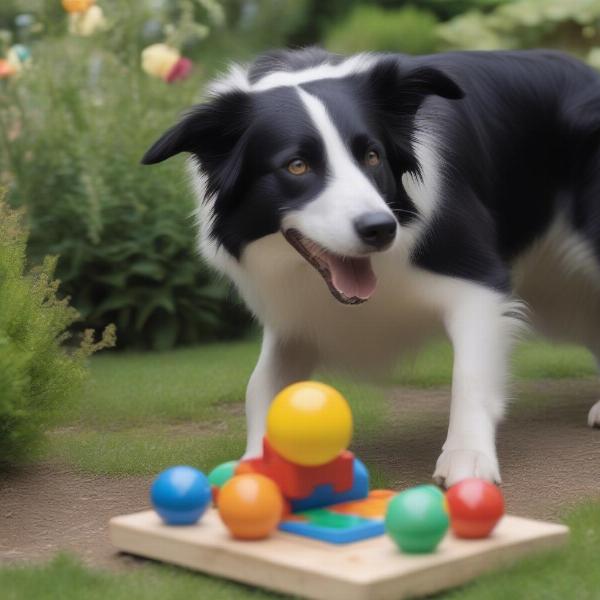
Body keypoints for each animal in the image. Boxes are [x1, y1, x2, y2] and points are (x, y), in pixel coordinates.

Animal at [142, 47, 600, 488]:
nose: (380, 229)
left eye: (372, 156)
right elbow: (261, 386)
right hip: (556, 295)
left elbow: (468, 375)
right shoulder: (295, 318)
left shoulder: (478, 283)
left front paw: (466, 458)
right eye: (296, 166)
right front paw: (257, 464)